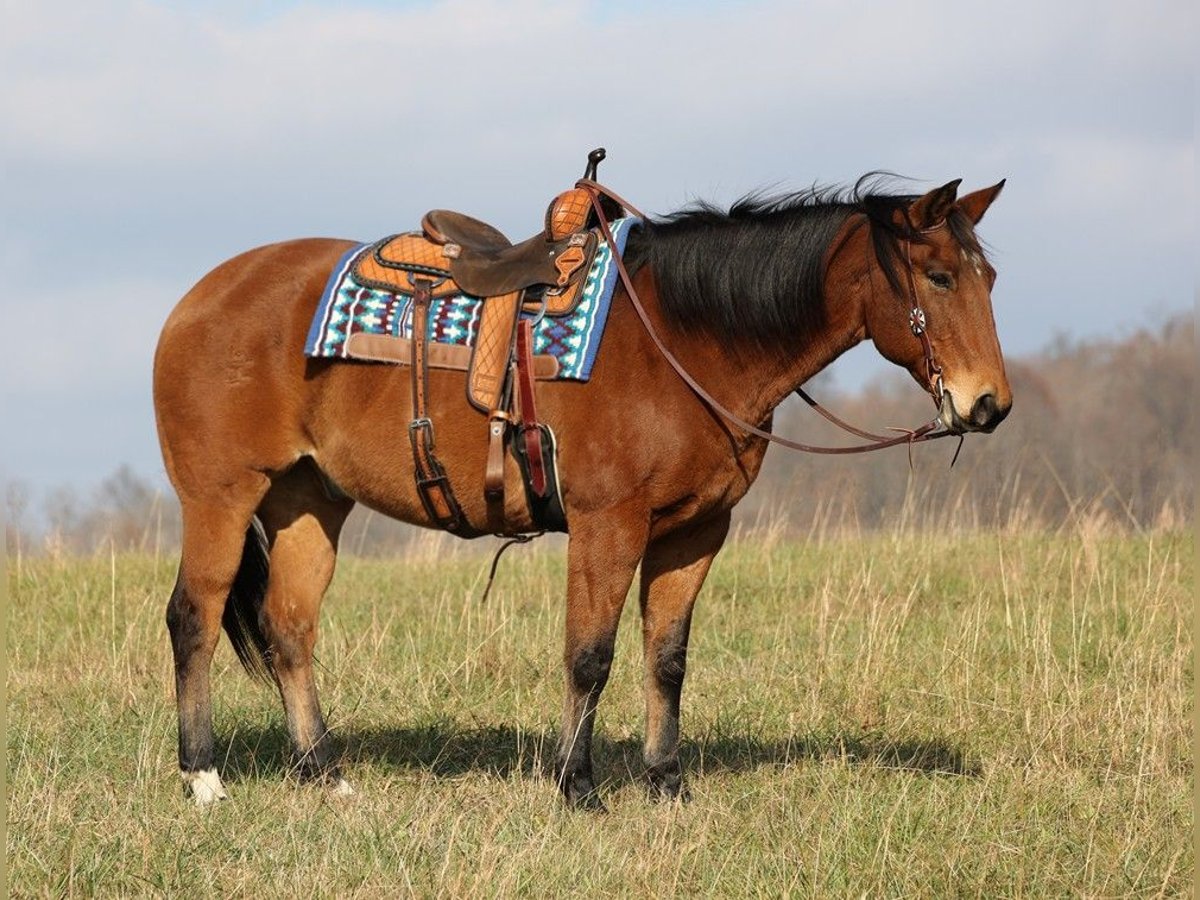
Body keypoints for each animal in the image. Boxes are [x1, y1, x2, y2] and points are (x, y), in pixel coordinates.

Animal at [153, 173, 1011, 808]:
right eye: (938, 276)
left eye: (990, 277)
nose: (988, 405)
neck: (687, 339)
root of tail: (196, 298)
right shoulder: (610, 524)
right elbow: (590, 655)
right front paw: (578, 787)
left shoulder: (695, 532)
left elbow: (667, 659)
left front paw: (667, 783)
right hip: (221, 498)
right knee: (194, 619)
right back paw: (204, 777)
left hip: (308, 501)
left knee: (290, 627)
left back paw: (325, 773)